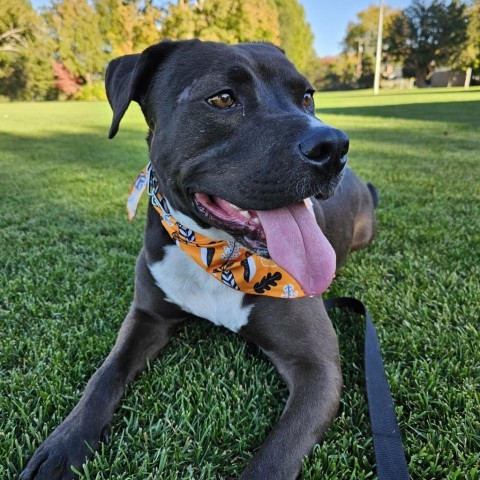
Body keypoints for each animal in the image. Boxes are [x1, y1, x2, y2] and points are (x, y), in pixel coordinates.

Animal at [20, 40, 376, 480]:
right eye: (222, 98)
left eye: (307, 96)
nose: (334, 147)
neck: (217, 254)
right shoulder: (147, 316)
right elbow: (105, 375)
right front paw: (65, 443)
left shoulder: (317, 368)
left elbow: (273, 459)